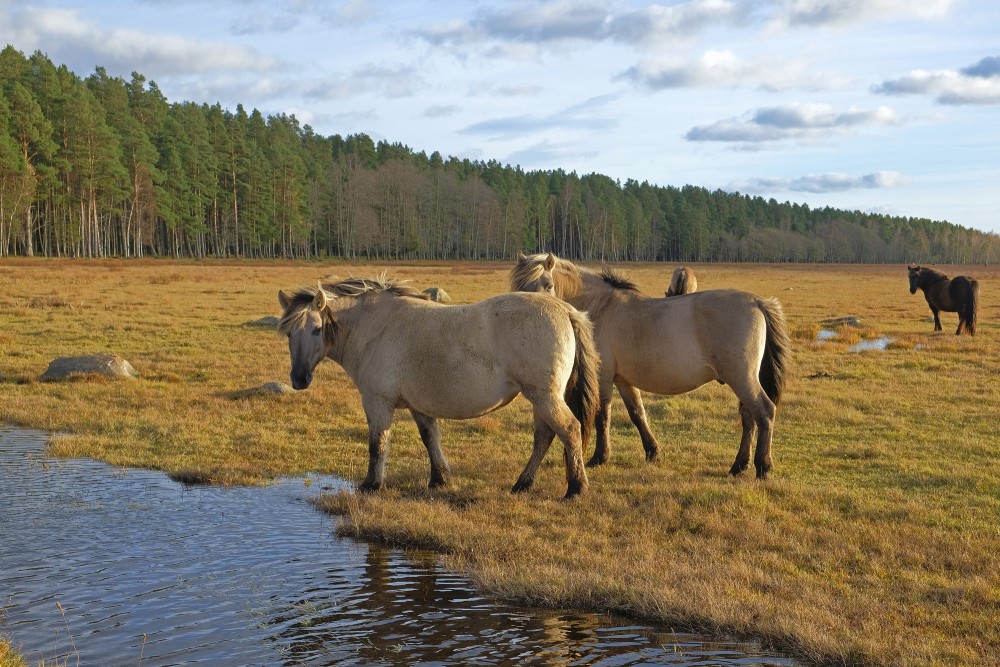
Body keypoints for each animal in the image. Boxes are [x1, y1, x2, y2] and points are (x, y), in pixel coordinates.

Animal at [278, 274, 596, 498]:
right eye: (289, 332)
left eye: (317, 329)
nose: (299, 379)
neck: (375, 326)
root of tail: (565, 309)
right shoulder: (419, 405)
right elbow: (430, 438)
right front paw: (439, 479)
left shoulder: (377, 402)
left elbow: (377, 444)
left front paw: (371, 484)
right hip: (542, 397)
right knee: (544, 437)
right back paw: (523, 484)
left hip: (544, 396)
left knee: (569, 429)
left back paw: (576, 489)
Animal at [516, 253, 788, 478]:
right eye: (520, 288)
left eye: (548, 285)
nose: (533, 315)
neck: (601, 307)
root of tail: (757, 301)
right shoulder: (623, 380)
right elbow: (637, 413)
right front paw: (652, 451)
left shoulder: (604, 376)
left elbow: (603, 415)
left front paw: (599, 457)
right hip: (741, 380)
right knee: (749, 417)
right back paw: (739, 466)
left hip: (742, 378)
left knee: (764, 412)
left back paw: (762, 466)